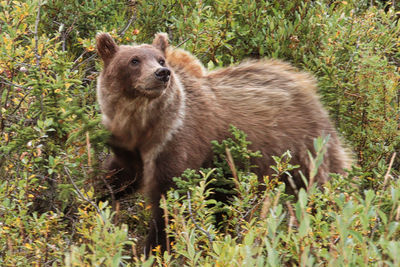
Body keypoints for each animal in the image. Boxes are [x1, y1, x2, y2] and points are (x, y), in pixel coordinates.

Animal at [95, 33, 348, 255]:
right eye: (134, 60)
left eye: (160, 59)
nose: (161, 73)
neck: (143, 125)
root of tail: (308, 87)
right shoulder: (130, 150)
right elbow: (116, 177)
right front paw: (96, 198)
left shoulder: (177, 142)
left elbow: (170, 203)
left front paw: (154, 248)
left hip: (303, 148)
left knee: (320, 188)